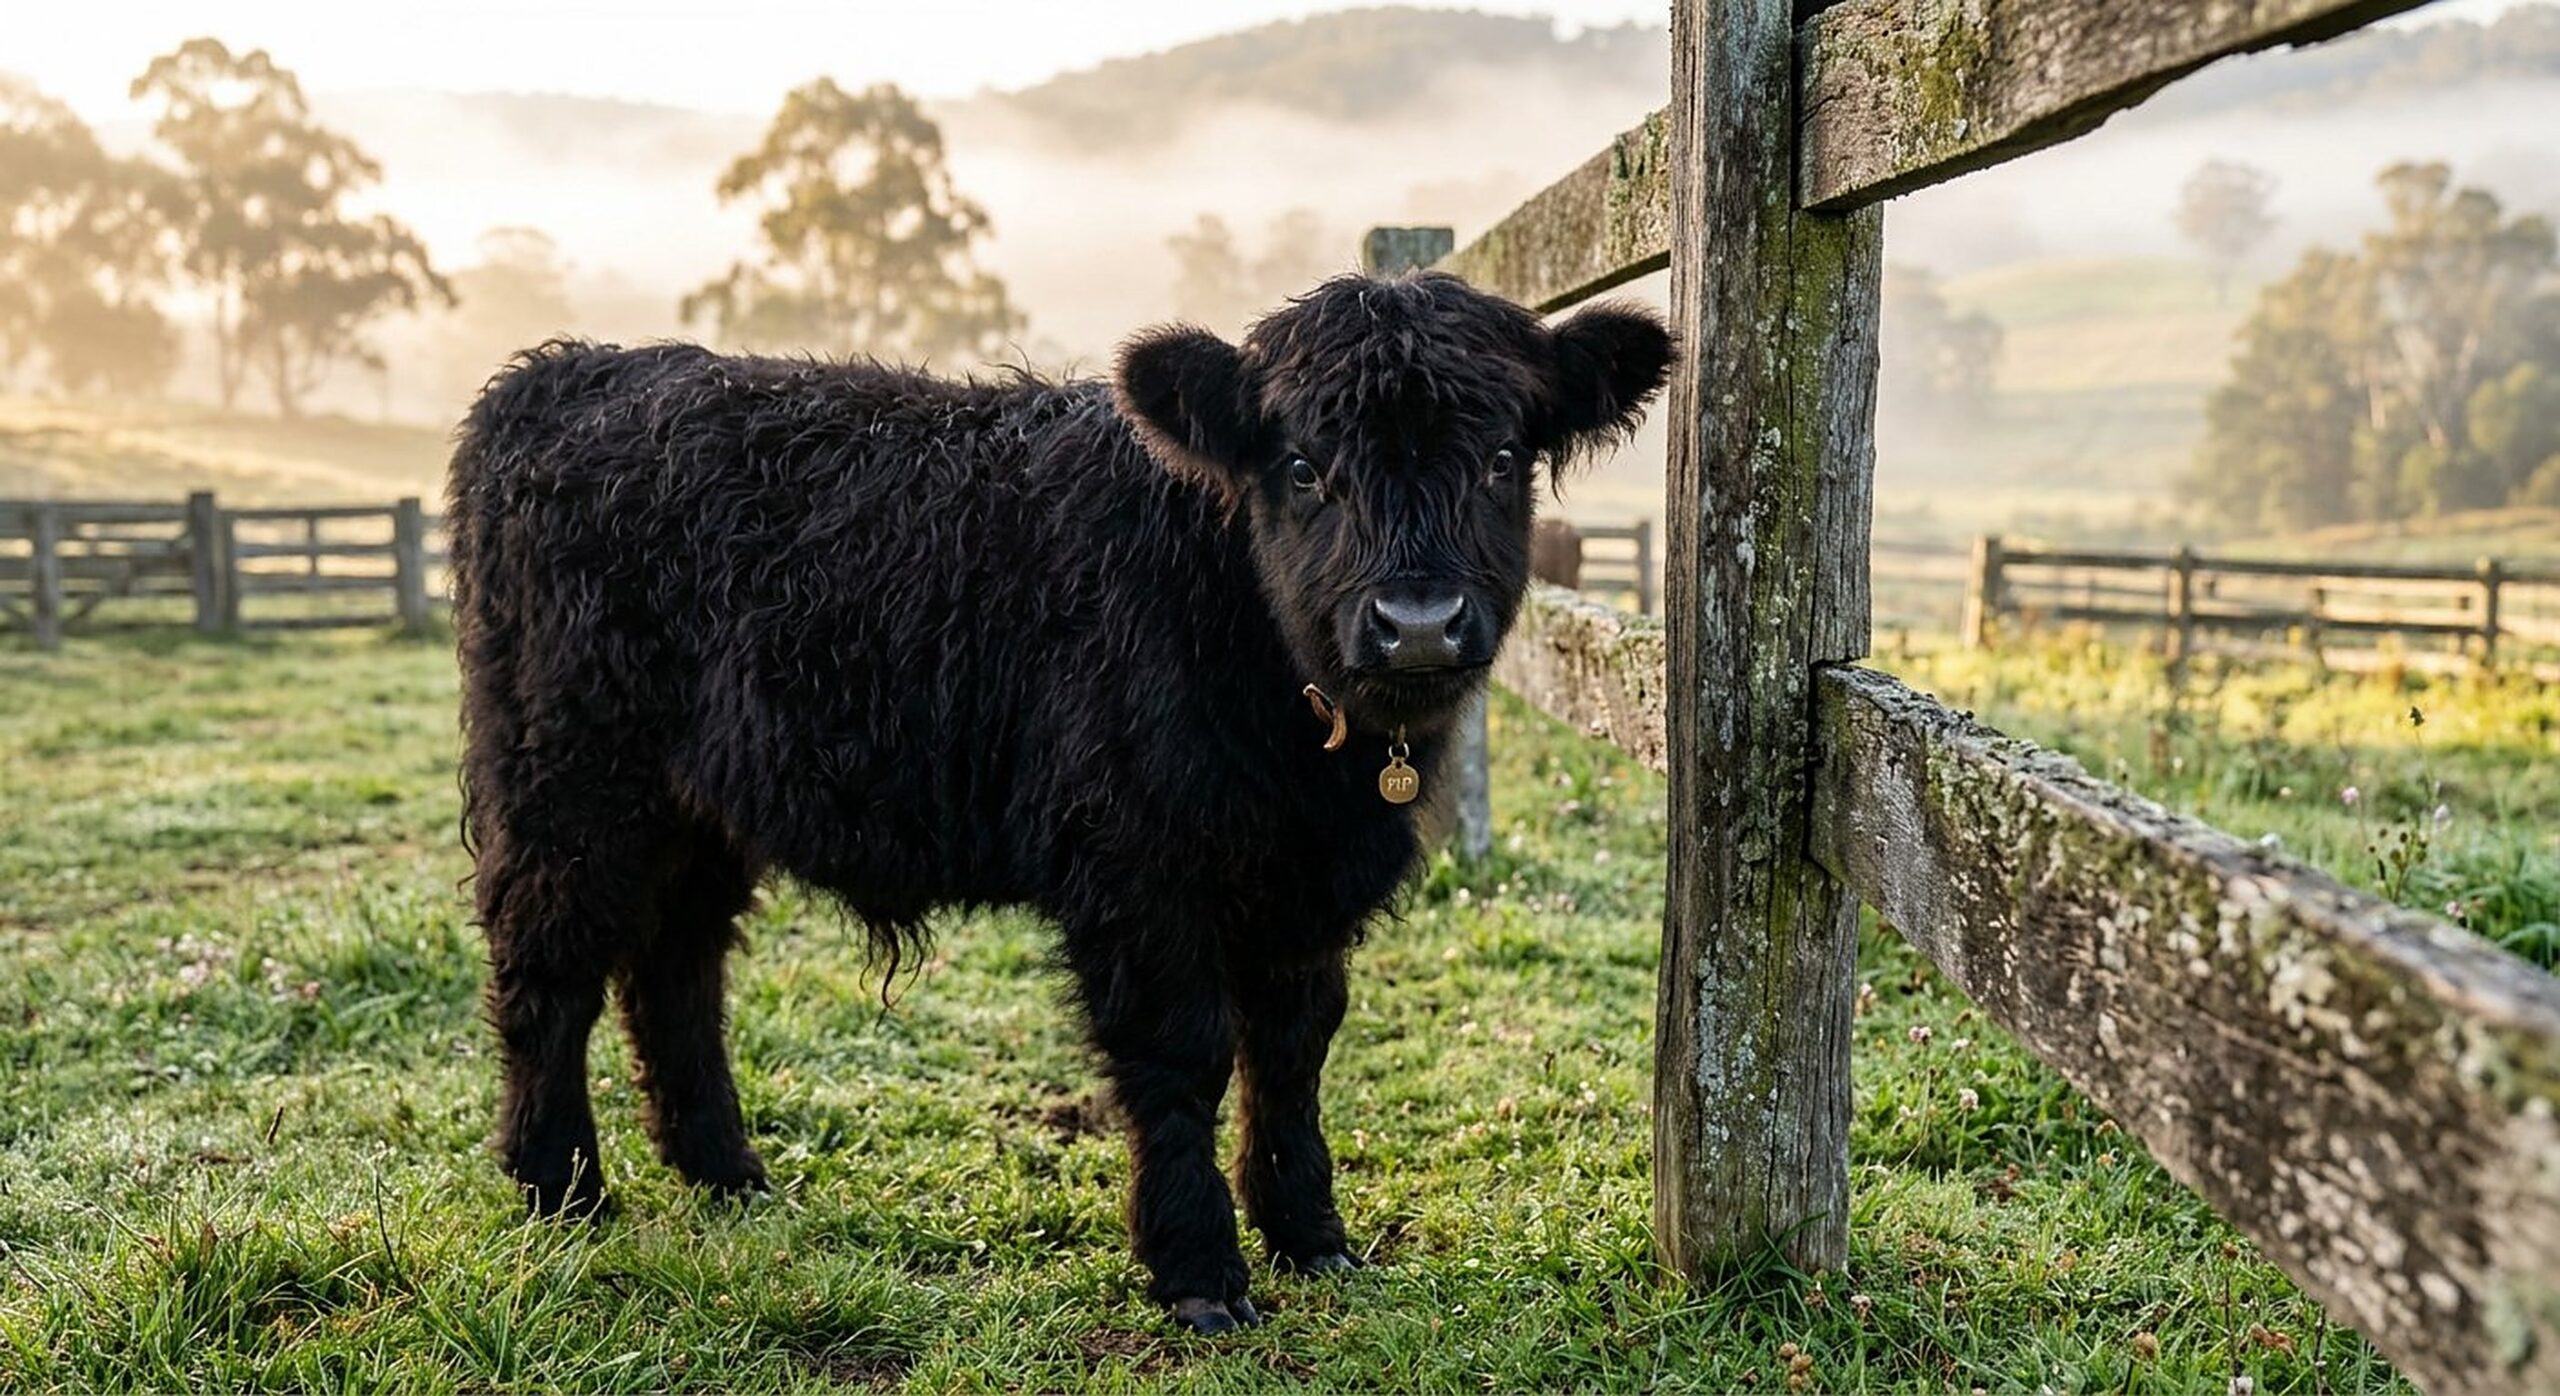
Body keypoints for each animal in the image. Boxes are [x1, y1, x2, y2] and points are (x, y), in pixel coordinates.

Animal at [446, 270, 1673, 1332]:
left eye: (1503, 456)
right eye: (1302, 465)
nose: (1417, 623)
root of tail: (570, 372)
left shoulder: (1305, 890)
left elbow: (1293, 1050)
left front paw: (1310, 1235)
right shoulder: (1138, 869)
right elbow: (1184, 1055)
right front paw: (1199, 1272)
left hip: (701, 808)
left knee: (674, 970)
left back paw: (726, 1173)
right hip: (569, 780)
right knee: (548, 966)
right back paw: (562, 1186)